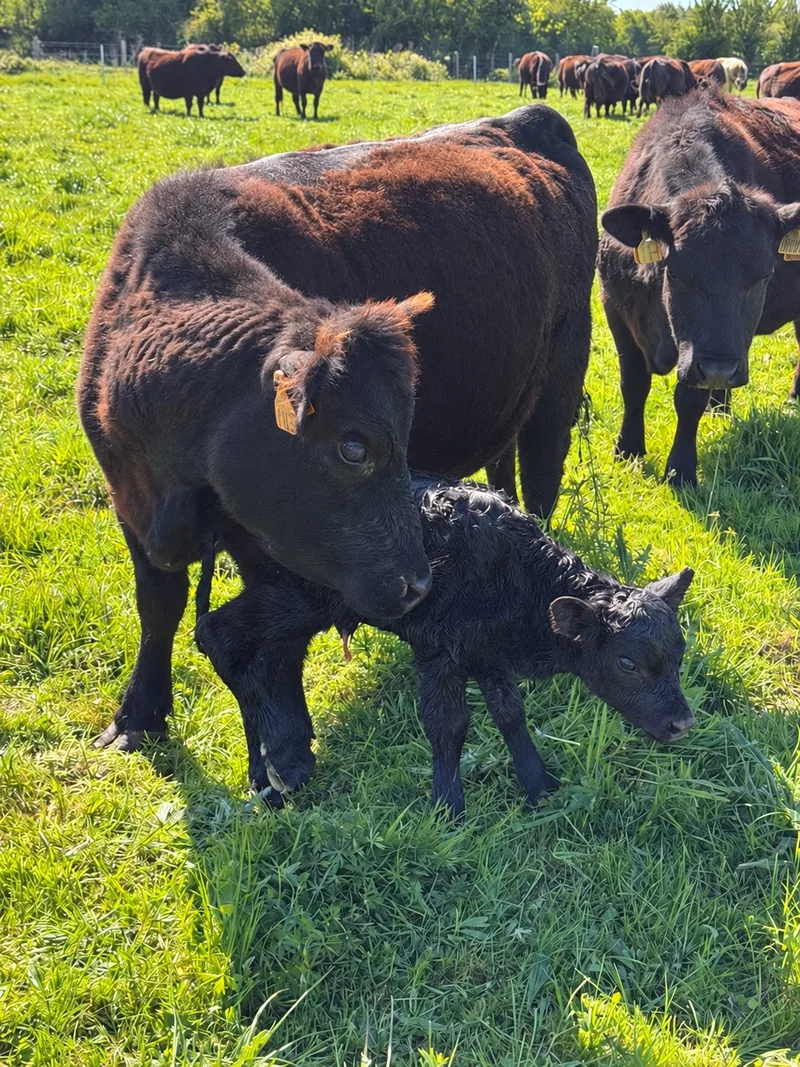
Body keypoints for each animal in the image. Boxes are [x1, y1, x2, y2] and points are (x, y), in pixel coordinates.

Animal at [80, 106, 597, 777]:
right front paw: (138, 715)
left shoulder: (276, 550)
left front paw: (288, 751)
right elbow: (159, 608)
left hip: (562, 376)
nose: (418, 585)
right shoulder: (131, 504)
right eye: (355, 447)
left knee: (540, 483)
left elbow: (278, 635)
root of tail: (527, 116)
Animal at [196, 473, 696, 814]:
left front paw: (539, 787)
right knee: (221, 637)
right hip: (290, 594)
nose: (682, 724)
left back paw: (279, 766)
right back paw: (275, 769)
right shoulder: (438, 649)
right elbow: (448, 723)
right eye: (627, 663)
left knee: (266, 654)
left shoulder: (487, 651)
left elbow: (510, 714)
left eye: (679, 653)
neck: (518, 574)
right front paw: (447, 806)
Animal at [598, 90, 800, 488]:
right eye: (674, 273)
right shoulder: (615, 309)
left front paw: (681, 470)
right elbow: (633, 384)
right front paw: (627, 450)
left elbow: (688, 398)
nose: (720, 369)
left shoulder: (697, 352)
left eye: (765, 275)